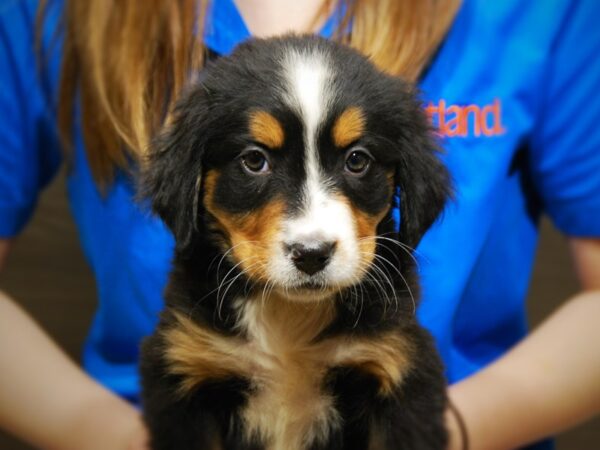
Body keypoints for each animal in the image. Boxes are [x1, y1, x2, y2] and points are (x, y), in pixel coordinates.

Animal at [139, 33, 450, 448]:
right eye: (254, 160)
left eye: (357, 160)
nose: (312, 254)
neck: (288, 320)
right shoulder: (184, 377)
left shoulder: (400, 369)